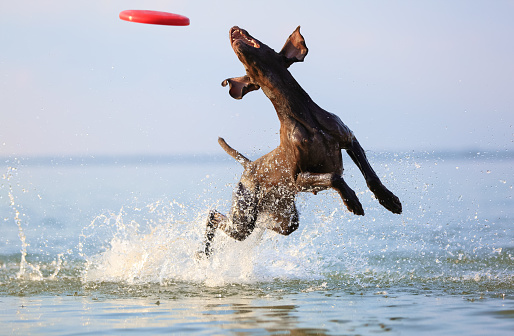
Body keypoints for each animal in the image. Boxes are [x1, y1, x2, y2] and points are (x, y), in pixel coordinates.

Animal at [197, 26, 400, 258]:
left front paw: (389, 199)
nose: (233, 29)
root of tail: (249, 165)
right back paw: (203, 252)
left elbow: (371, 176)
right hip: (244, 211)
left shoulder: (349, 139)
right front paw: (351, 199)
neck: (303, 116)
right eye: (246, 69)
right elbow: (334, 178)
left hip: (284, 217)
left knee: (270, 224)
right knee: (214, 215)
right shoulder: (298, 178)